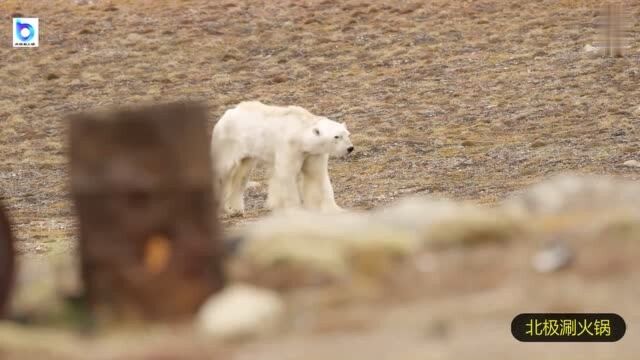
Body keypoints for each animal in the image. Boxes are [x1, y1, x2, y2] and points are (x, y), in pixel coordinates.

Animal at [211, 100, 356, 215]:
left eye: (348, 134)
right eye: (336, 136)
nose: (350, 148)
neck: (300, 132)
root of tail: (225, 115)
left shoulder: (312, 153)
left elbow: (317, 175)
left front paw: (336, 210)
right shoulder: (289, 147)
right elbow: (287, 175)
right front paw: (296, 211)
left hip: (247, 150)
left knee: (242, 175)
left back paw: (236, 209)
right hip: (227, 143)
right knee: (223, 172)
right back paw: (225, 209)